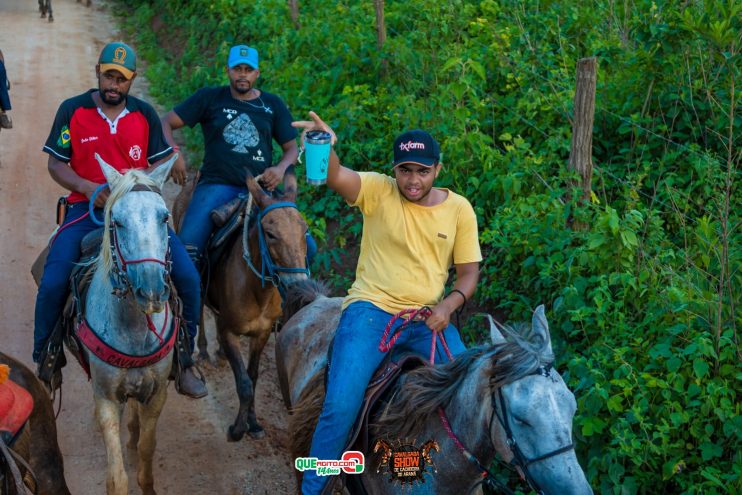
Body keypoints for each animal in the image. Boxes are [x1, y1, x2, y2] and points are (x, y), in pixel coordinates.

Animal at [84, 156, 176, 495]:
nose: (151, 292)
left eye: (164, 217)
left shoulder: (158, 392)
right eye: (118, 222)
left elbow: (149, 447)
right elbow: (117, 477)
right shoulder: (106, 399)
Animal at [174, 171, 308, 442]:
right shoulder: (229, 333)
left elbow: (252, 377)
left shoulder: (262, 333)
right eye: (270, 233)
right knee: (196, 309)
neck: (258, 290)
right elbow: (244, 384)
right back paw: (200, 353)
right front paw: (237, 429)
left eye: (305, 231)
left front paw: (253, 424)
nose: (298, 285)